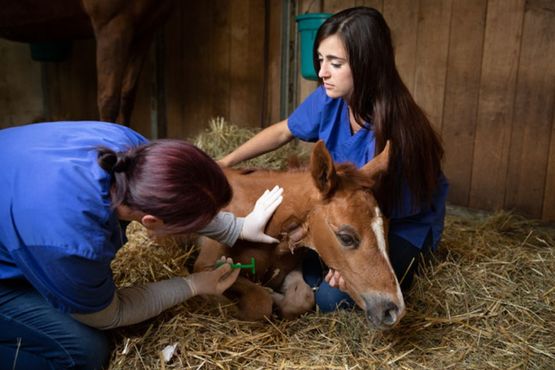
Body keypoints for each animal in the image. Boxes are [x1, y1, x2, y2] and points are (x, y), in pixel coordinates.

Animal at [195, 142, 404, 330]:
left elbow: (303, 298)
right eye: (346, 237)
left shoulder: (292, 267)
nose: (394, 311)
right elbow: (259, 302)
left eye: (386, 227)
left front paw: (275, 296)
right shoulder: (206, 266)